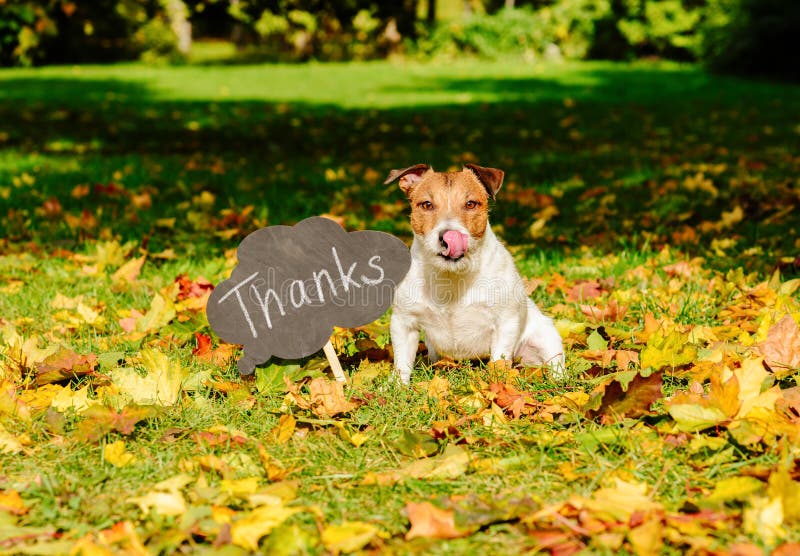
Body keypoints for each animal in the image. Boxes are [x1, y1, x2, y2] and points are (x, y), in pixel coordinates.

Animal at [386, 163, 564, 384]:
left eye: (470, 204)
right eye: (426, 205)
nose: (449, 237)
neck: (451, 277)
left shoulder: (505, 323)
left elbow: (499, 361)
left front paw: (497, 386)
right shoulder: (403, 322)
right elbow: (402, 363)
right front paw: (395, 386)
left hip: (546, 338)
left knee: (556, 363)